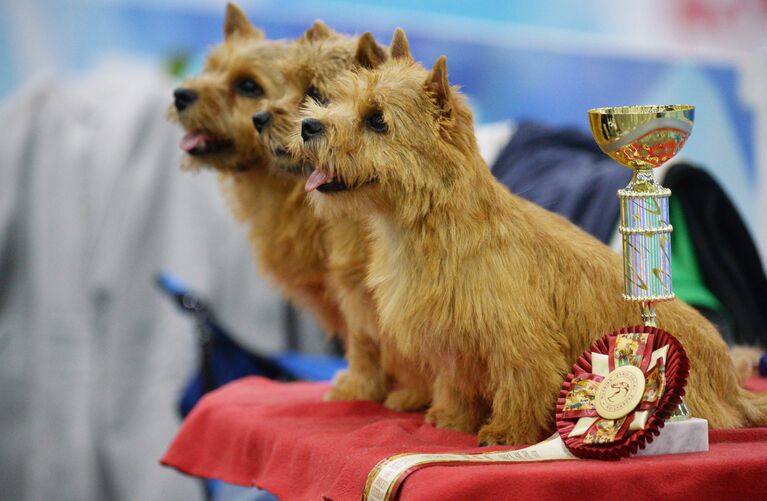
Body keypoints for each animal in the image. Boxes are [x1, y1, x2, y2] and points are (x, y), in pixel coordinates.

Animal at [171, 2, 764, 442]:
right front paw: (450, 419)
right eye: (334, 103)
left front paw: (506, 433)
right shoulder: (445, 337)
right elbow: (447, 377)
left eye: (376, 120)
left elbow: (521, 382)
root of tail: (732, 387)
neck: (428, 233)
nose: (309, 126)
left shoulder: (517, 338)